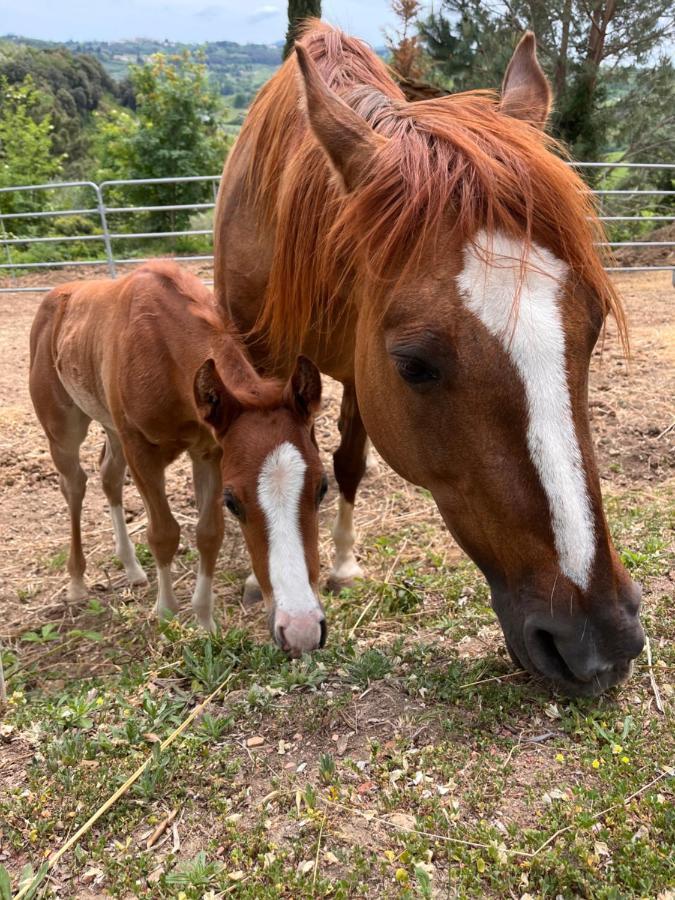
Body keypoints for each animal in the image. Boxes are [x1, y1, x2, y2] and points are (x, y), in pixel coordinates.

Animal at [29, 260, 330, 652]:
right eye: (233, 501)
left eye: (323, 487)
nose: (301, 630)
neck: (161, 348)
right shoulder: (141, 449)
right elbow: (163, 534)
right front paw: (166, 615)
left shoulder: (210, 451)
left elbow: (209, 534)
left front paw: (204, 621)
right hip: (64, 429)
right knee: (74, 485)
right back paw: (78, 583)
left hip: (112, 427)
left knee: (109, 477)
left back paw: (132, 568)